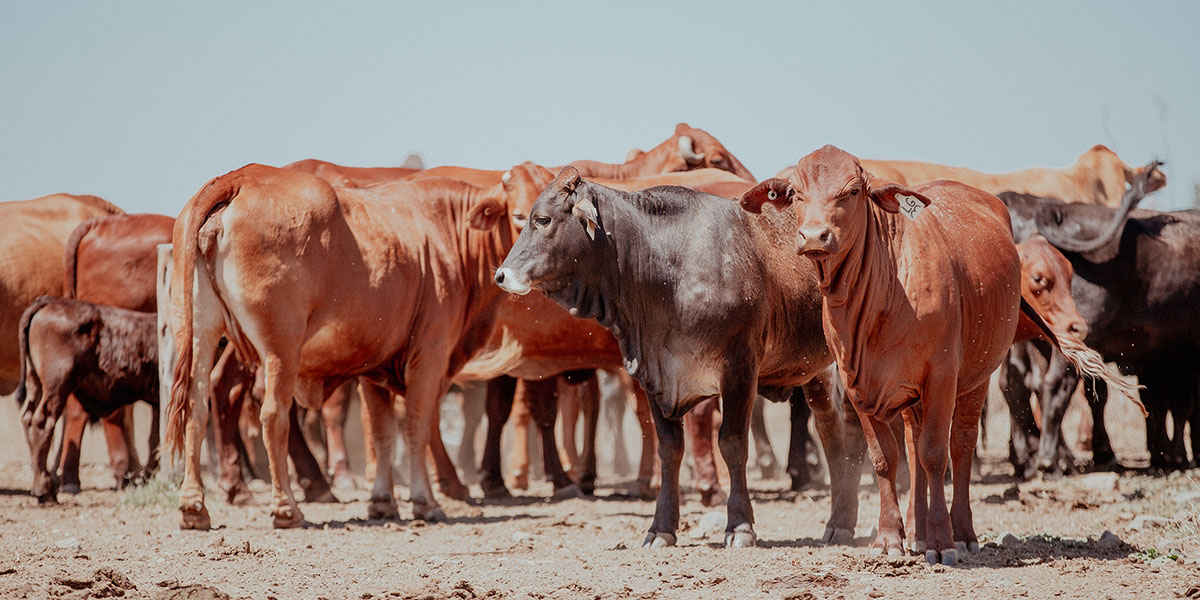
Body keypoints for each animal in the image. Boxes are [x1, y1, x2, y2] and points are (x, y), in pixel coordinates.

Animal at [17, 297, 159, 504]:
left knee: (28, 419)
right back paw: (44, 490)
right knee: (42, 423)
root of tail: (48, 301)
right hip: (56, 384)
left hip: (35, 382)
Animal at [165, 164, 516, 530]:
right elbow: (416, 426)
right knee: (273, 414)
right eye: (521, 214)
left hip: (198, 331)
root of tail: (239, 178)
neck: (442, 228)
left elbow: (381, 432)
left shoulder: (377, 367)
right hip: (280, 346)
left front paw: (382, 501)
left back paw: (194, 507)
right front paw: (426, 502)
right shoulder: (429, 355)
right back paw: (287, 508)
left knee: (196, 409)